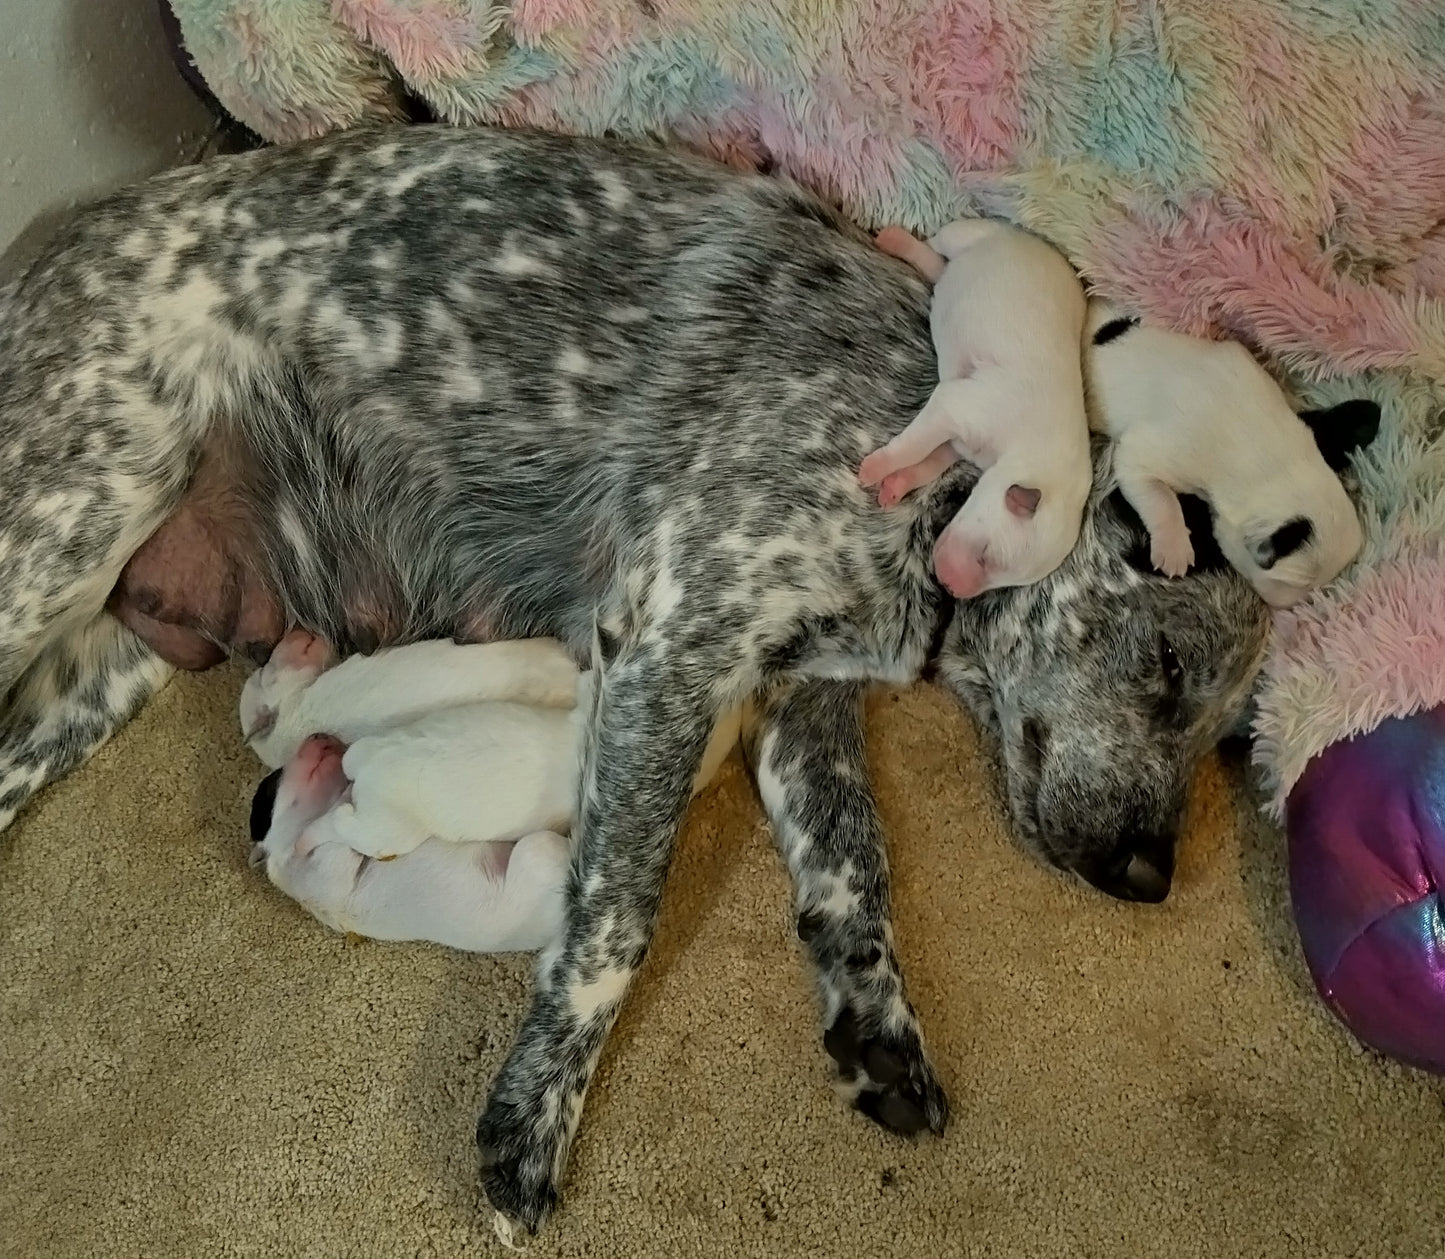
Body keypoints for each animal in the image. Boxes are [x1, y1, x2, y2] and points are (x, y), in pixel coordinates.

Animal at [849, 219, 1086, 598]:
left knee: (938, 270)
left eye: (1004, 583)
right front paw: (876, 468)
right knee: (936, 245)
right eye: (986, 555)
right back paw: (894, 239)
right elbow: (913, 445)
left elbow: (929, 461)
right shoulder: (957, 406)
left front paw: (896, 484)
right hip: (969, 232)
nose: (950, 588)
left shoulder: (957, 440)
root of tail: (1034, 240)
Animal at [1086, 300, 1375, 604]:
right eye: (1294, 583)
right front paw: (1174, 548)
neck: (1270, 456)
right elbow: (1157, 496)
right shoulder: (1154, 454)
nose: (1299, 602)